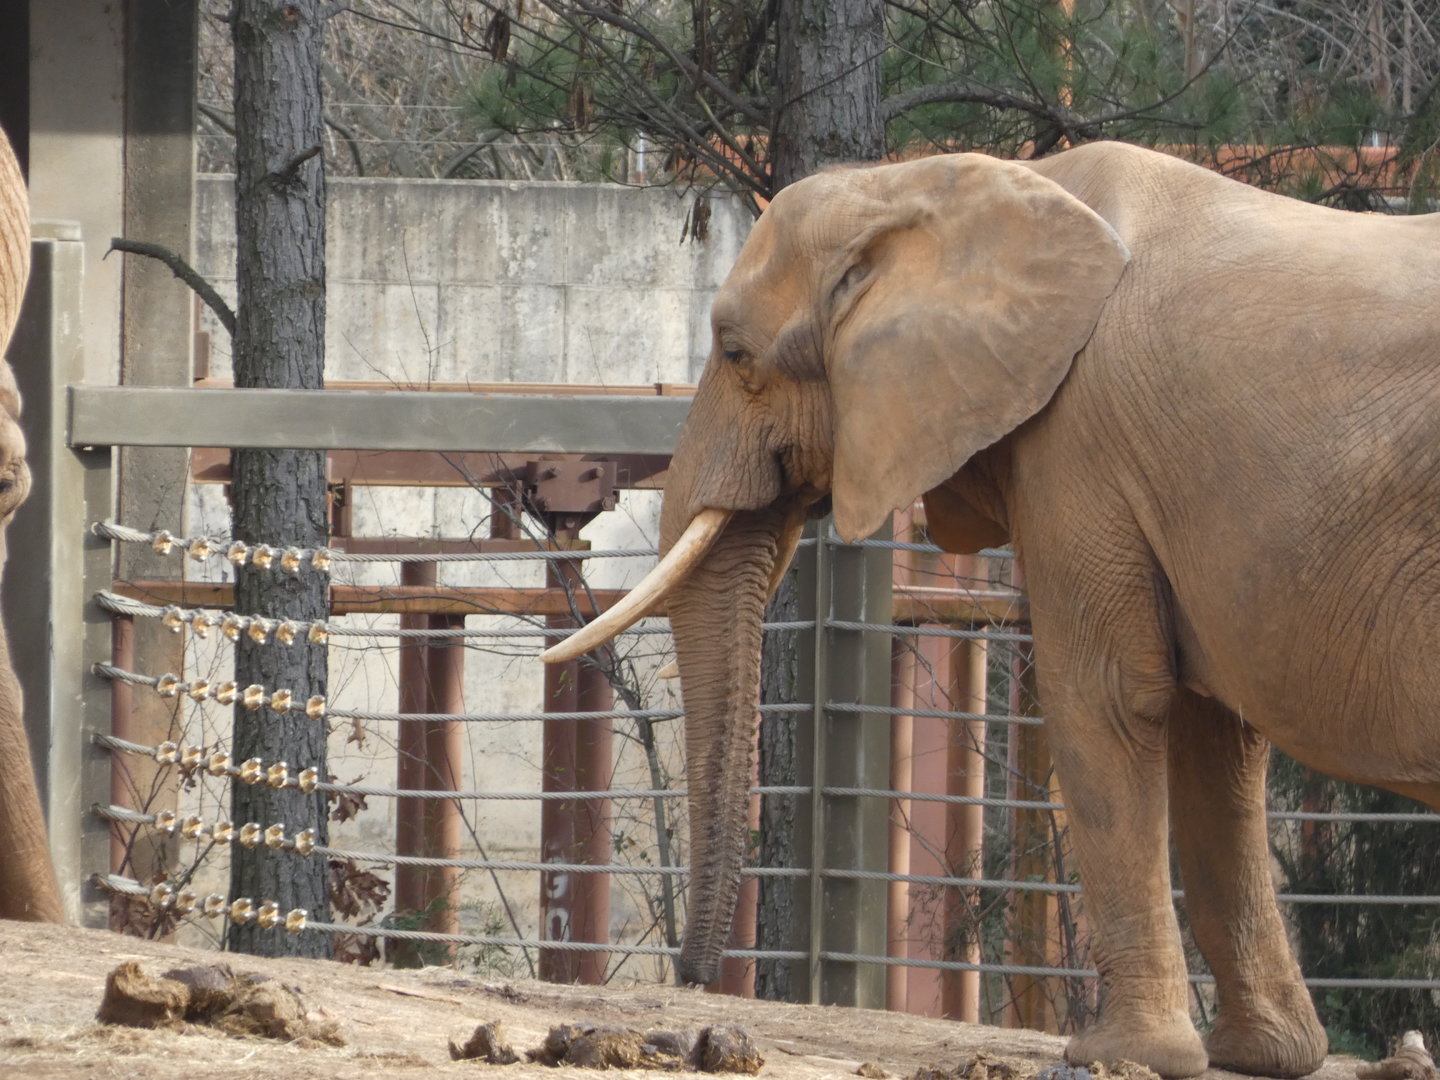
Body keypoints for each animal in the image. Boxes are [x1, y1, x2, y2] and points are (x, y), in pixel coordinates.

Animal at [543, 141, 1440, 1078]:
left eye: (737, 353)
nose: (689, 980)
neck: (933, 184)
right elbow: (1214, 738)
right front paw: (1259, 1056)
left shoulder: (1079, 446)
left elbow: (1107, 700)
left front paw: (1118, 1053)